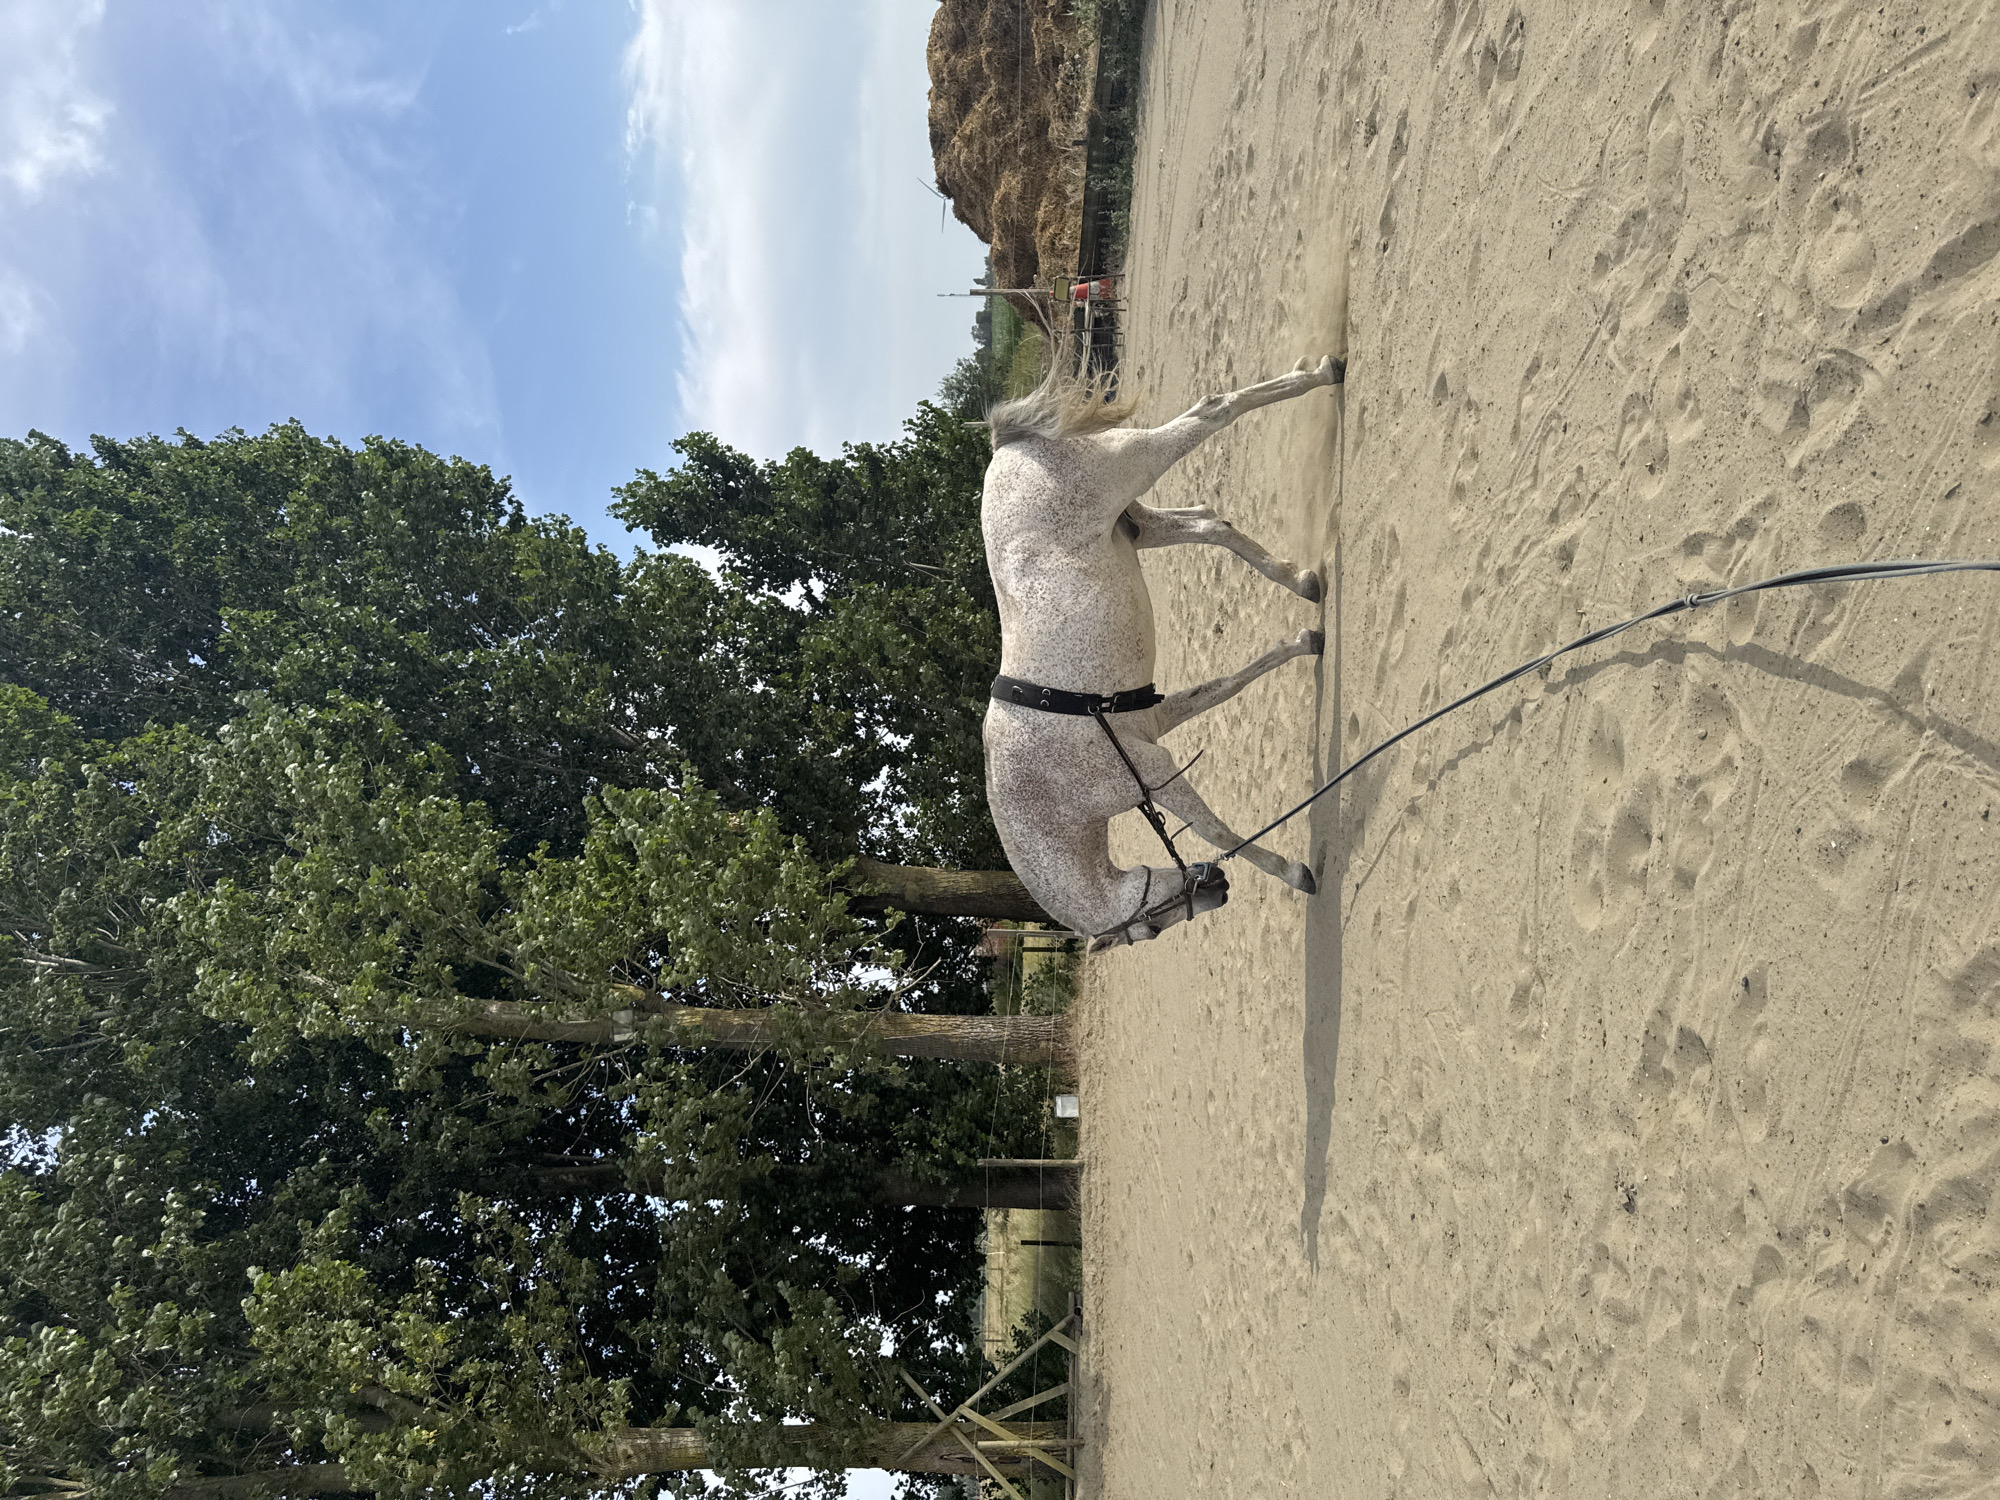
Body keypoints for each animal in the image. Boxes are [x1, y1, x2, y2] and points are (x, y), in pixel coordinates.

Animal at [980, 355, 1343, 950]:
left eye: (1147, 926)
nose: (1218, 888)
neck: (1048, 795)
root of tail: (1007, 452)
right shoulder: (1156, 721)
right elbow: (1227, 686)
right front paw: (1306, 641)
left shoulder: (1158, 772)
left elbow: (1216, 829)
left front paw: (1294, 872)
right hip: (1137, 524)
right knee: (1210, 521)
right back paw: (1304, 582)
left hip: (1133, 465)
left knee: (1213, 411)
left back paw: (1326, 373)